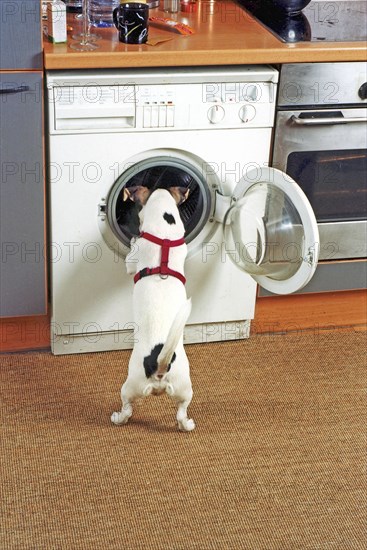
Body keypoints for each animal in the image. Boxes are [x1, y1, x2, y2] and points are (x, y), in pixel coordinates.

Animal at [110, 188, 196, 434]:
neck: (164, 238)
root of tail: (160, 365)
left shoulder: (132, 260)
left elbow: (130, 263)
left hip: (130, 386)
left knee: (127, 409)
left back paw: (118, 418)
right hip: (185, 388)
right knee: (181, 413)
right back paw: (187, 425)